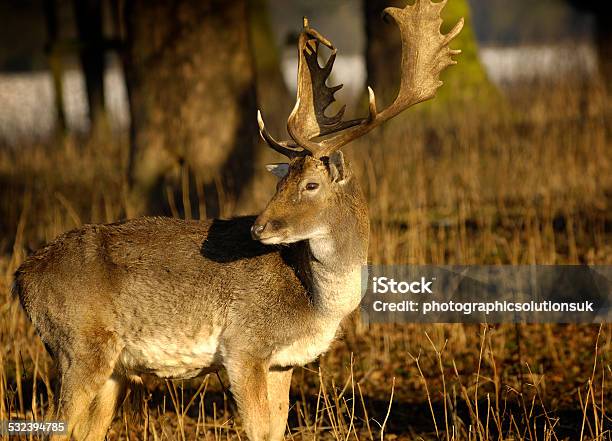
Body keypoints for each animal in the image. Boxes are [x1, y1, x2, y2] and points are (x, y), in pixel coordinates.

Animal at [11, 1, 462, 438]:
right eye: (281, 182)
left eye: (310, 184)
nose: (258, 227)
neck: (316, 302)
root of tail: (22, 278)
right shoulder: (243, 346)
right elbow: (258, 429)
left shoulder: (282, 361)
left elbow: (277, 429)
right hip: (78, 345)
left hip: (112, 370)